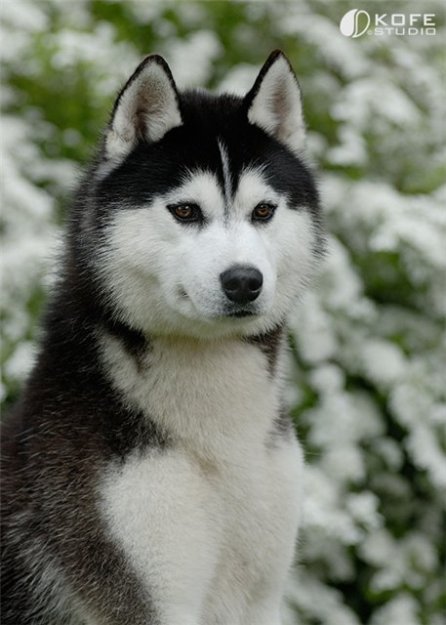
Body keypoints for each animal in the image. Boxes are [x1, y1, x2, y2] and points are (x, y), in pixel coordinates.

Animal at [0, 50, 322, 624]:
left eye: (264, 211)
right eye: (185, 210)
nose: (244, 281)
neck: (220, 439)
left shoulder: (260, 597)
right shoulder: (147, 594)